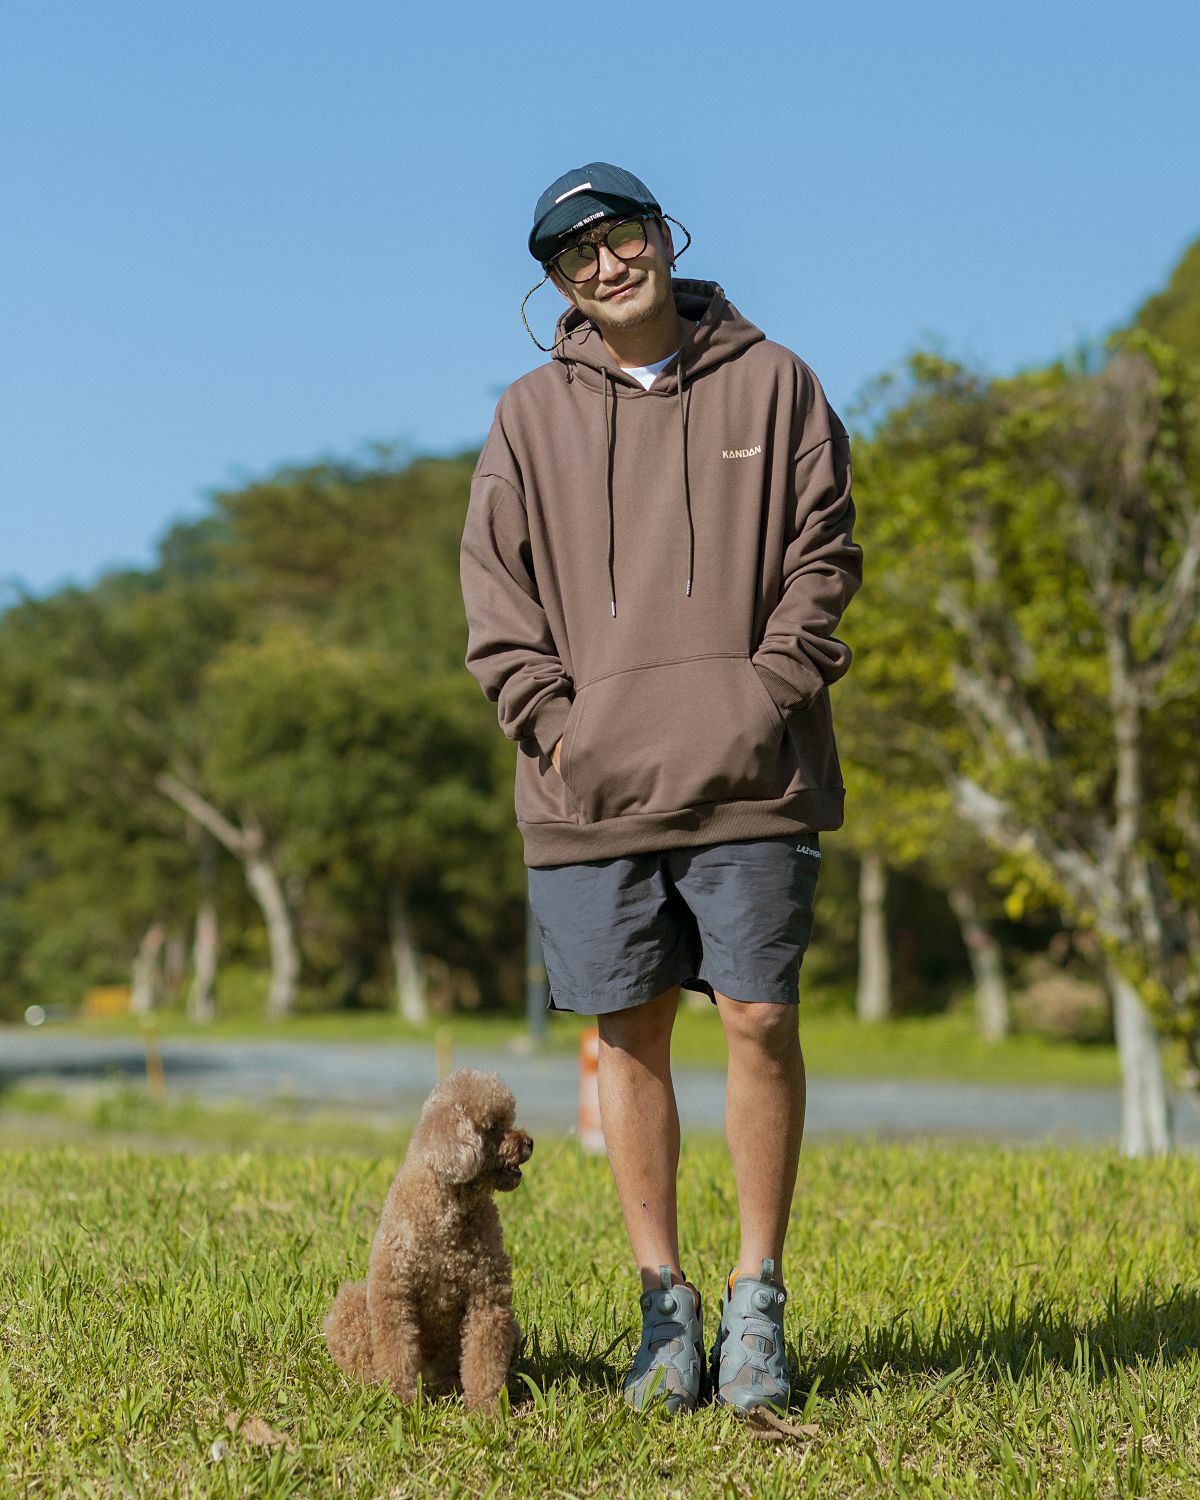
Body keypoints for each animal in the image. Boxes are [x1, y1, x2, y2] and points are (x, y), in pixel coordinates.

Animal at [323, 1067, 533, 1413]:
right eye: (493, 1127)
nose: (529, 1142)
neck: (450, 1203)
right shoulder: (394, 1292)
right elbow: (397, 1352)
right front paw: (401, 1402)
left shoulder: (488, 1299)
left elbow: (484, 1362)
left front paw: (486, 1411)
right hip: (352, 1305)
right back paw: (371, 1386)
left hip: (509, 1326)